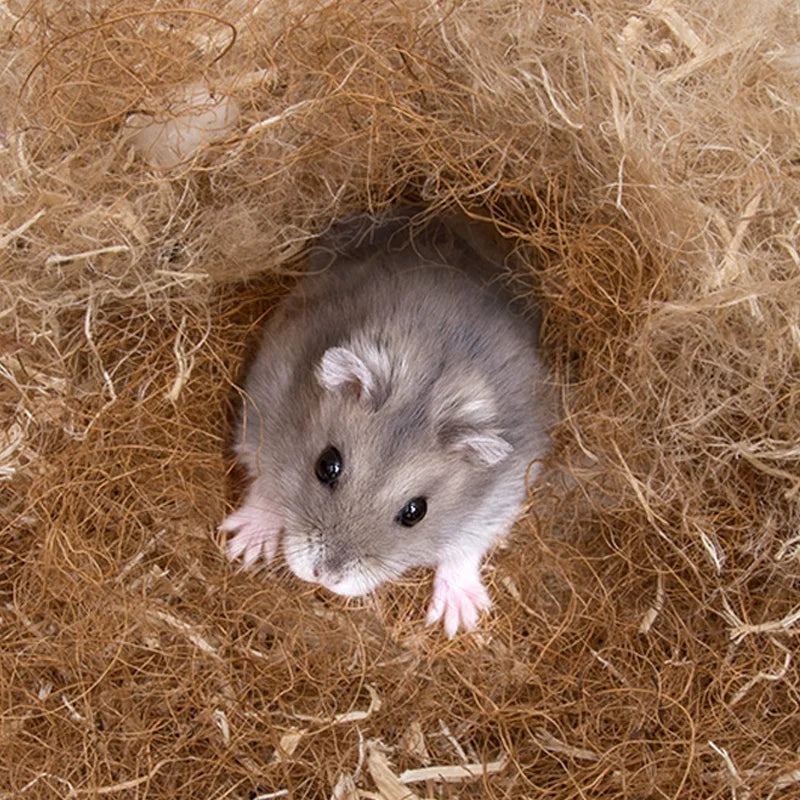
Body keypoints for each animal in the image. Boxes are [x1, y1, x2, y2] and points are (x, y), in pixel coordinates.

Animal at [220, 209, 550, 636]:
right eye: (326, 466)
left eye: (415, 512)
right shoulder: (262, 412)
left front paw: (460, 620)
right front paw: (245, 548)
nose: (325, 576)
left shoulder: (504, 492)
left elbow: (464, 548)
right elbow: (267, 485)